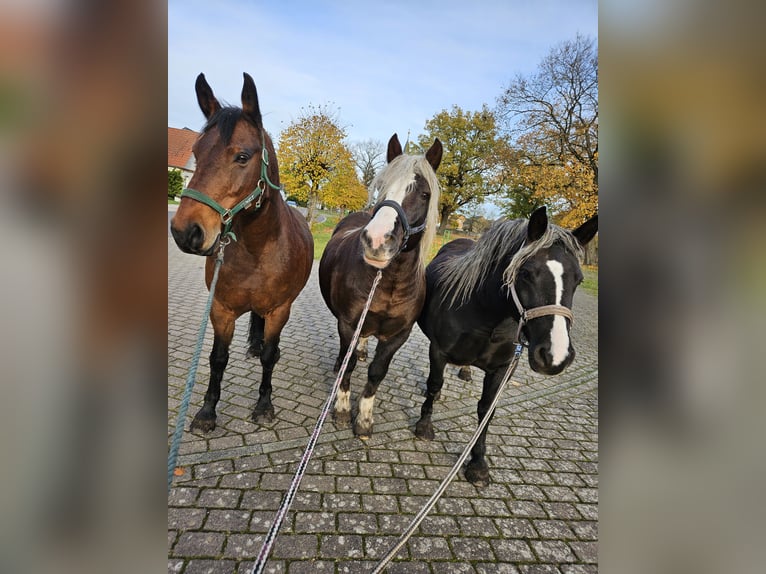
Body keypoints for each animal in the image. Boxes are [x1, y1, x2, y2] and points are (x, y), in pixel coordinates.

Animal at [170, 73, 313, 431]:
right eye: (196, 152)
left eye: (243, 157)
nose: (185, 231)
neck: (257, 250)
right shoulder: (221, 310)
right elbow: (218, 358)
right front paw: (207, 412)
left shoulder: (279, 310)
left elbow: (270, 357)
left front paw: (263, 406)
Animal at [318, 134, 442, 438]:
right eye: (381, 188)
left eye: (424, 194)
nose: (377, 240)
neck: (390, 283)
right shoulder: (348, 324)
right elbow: (348, 364)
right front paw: (341, 409)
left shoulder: (398, 335)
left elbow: (377, 372)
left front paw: (364, 419)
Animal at [415, 206, 598, 485]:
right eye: (526, 273)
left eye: (578, 280)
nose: (555, 356)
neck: (483, 314)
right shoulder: (438, 352)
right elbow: (435, 385)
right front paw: (424, 426)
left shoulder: (502, 369)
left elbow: (486, 410)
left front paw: (478, 464)